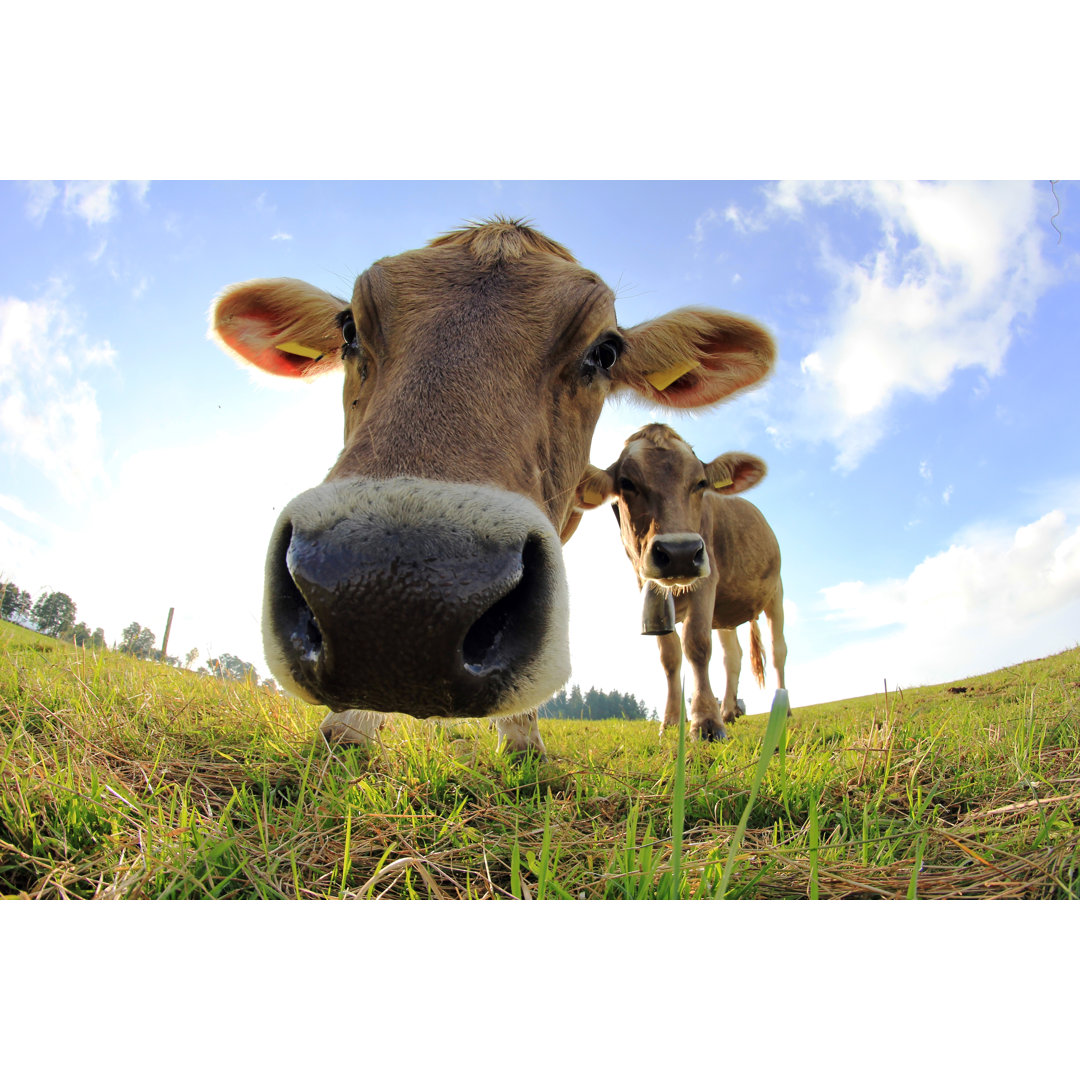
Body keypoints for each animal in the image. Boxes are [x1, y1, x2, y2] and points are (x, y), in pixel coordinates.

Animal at [578, 421, 790, 743]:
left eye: (700, 483)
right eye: (627, 483)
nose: (680, 553)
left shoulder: (706, 580)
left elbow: (697, 644)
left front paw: (705, 721)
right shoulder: (649, 588)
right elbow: (670, 655)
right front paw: (670, 721)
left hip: (775, 592)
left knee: (779, 650)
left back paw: (782, 709)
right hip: (725, 614)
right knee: (733, 656)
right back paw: (729, 710)